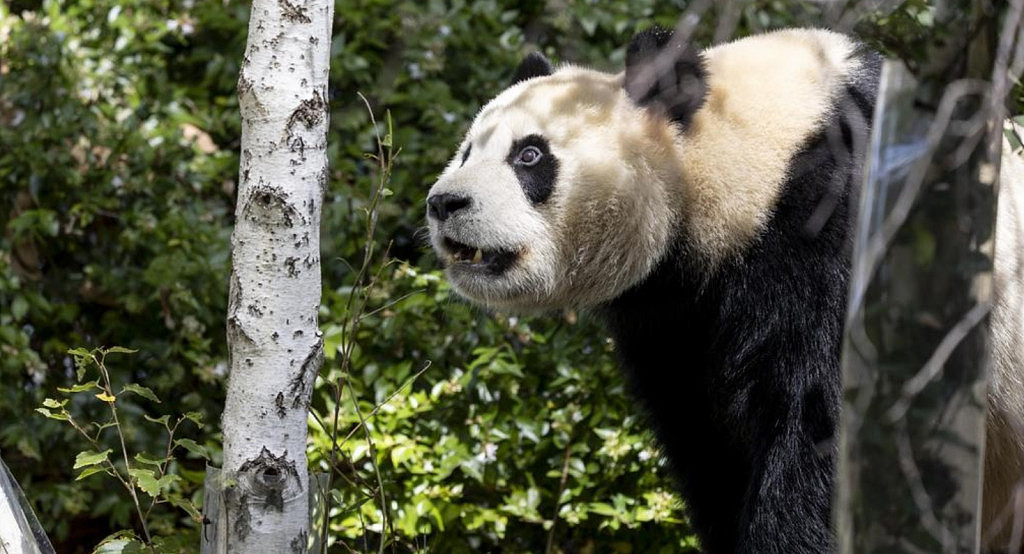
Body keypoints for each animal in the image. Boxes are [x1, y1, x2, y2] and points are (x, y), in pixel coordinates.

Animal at [423, 27, 1024, 552]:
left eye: (529, 155)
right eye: (467, 151)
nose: (444, 202)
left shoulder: (842, 219)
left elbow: (825, 420)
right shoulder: (674, 315)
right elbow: (707, 446)